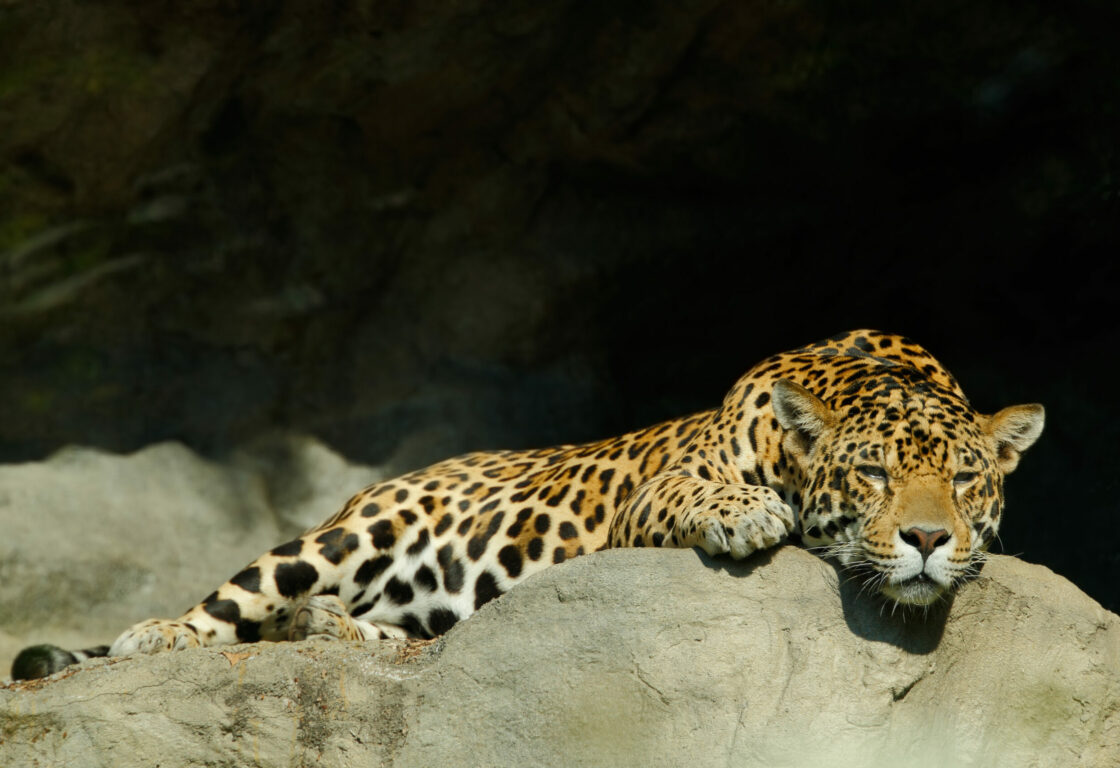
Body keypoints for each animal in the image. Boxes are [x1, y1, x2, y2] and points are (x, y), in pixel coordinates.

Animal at [10, 330, 1044, 680]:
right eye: (870, 474)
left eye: (963, 480)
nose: (925, 537)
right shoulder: (652, 487)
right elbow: (699, 490)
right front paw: (748, 513)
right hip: (349, 530)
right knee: (235, 602)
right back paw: (159, 636)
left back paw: (329, 629)